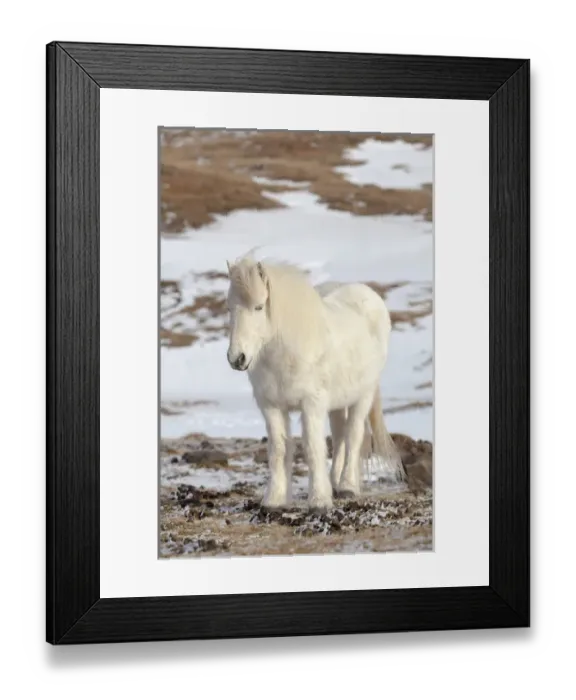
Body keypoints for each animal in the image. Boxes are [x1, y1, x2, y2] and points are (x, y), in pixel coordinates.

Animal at [225, 255, 404, 512]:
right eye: (229, 308)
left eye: (258, 306)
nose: (236, 358)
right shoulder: (271, 406)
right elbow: (279, 449)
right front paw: (274, 499)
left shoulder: (312, 404)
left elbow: (312, 447)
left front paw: (319, 500)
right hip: (338, 402)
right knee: (339, 437)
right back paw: (335, 483)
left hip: (364, 395)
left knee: (353, 436)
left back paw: (348, 486)